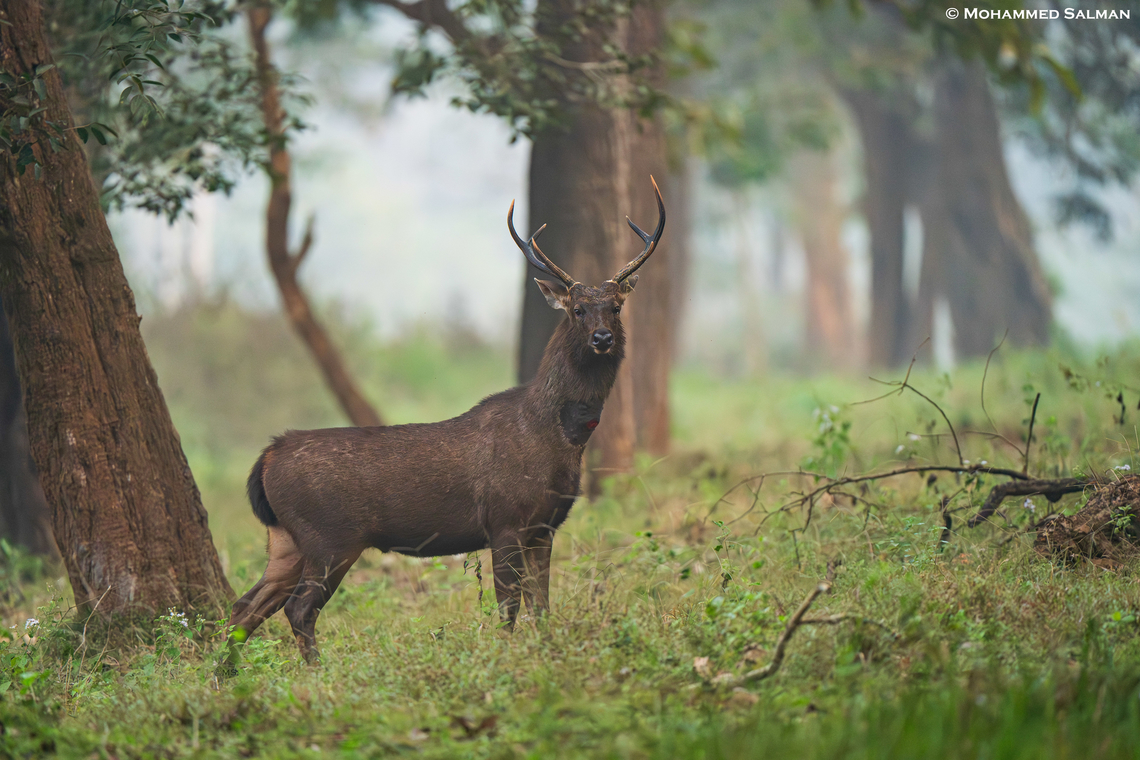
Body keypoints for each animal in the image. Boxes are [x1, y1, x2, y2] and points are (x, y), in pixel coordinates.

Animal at [226, 178, 665, 664]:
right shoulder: (505, 519)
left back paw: (224, 673)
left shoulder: (544, 527)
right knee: (297, 608)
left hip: (285, 539)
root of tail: (266, 457)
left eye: (616, 307)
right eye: (577, 309)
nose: (602, 338)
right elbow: (509, 606)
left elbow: (542, 607)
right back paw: (315, 673)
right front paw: (504, 660)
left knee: (245, 605)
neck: (558, 436)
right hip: (329, 536)